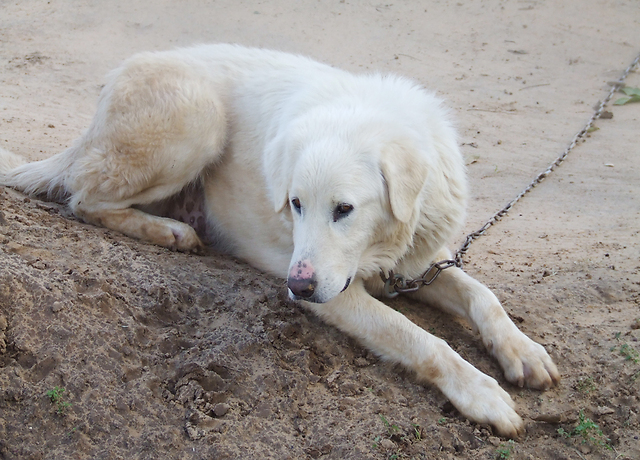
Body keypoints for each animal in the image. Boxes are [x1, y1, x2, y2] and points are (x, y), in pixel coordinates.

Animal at [0, 45, 556, 436]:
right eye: (295, 204)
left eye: (344, 210)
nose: (297, 288)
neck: (381, 245)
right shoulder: (336, 292)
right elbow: (422, 339)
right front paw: (481, 393)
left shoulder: (417, 262)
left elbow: (484, 296)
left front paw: (522, 351)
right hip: (198, 117)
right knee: (82, 197)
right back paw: (172, 231)